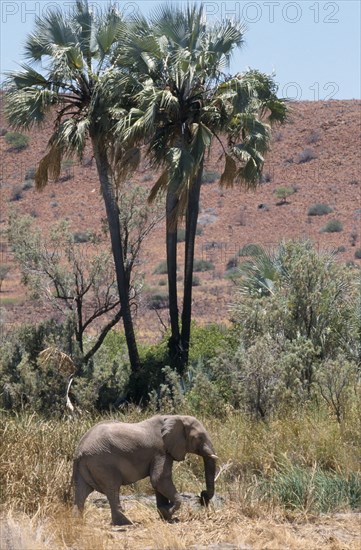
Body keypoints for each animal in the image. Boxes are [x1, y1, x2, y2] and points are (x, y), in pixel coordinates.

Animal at [71, 416, 215, 528]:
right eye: (200, 437)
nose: (203, 497)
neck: (176, 417)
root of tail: (79, 450)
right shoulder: (161, 450)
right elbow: (159, 479)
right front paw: (168, 512)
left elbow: (158, 483)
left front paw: (166, 516)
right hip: (103, 463)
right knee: (112, 488)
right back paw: (127, 523)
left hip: (84, 467)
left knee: (81, 491)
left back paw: (77, 521)